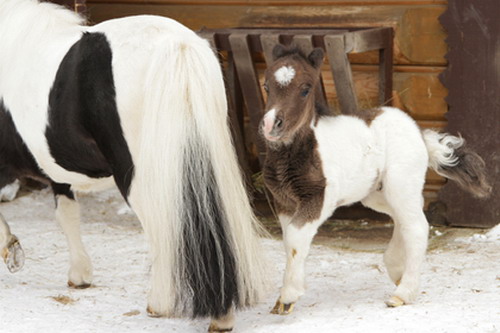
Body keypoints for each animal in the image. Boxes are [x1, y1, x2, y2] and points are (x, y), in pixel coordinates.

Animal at [0, 0, 266, 330]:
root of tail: (177, 45)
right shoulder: (59, 173)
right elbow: (68, 215)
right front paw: (80, 274)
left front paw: (11, 250)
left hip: (140, 179)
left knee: (163, 228)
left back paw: (165, 304)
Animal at [262, 44, 492, 314]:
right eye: (267, 86)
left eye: (305, 89)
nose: (271, 125)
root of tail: (418, 131)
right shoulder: (284, 202)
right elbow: (289, 242)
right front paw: (282, 301)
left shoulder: (318, 199)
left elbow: (295, 240)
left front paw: (288, 296)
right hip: (377, 194)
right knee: (404, 216)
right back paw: (397, 270)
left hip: (400, 184)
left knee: (417, 226)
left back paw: (403, 292)